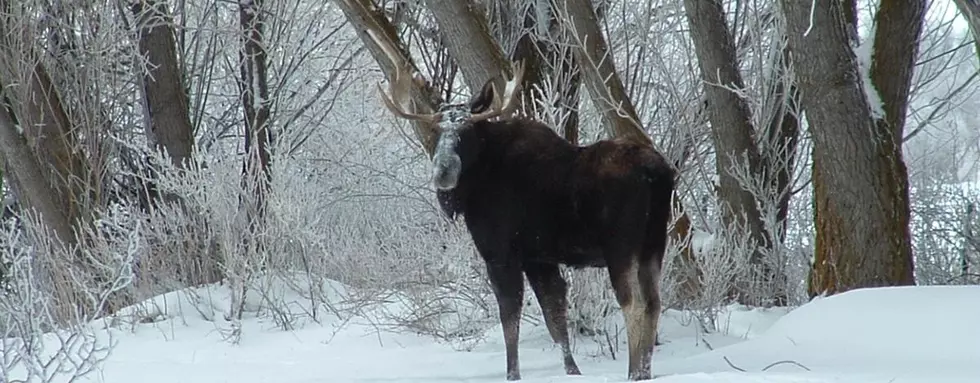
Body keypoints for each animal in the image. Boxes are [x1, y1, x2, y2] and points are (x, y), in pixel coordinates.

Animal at [366, 30, 672, 380]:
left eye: (466, 130)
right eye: (435, 130)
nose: (443, 172)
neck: (476, 183)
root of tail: (659, 173)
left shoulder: (500, 253)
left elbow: (510, 317)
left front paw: (513, 373)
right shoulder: (538, 257)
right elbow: (555, 317)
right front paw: (572, 370)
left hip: (621, 247)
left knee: (634, 304)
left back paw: (633, 372)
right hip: (654, 244)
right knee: (655, 303)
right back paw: (645, 370)